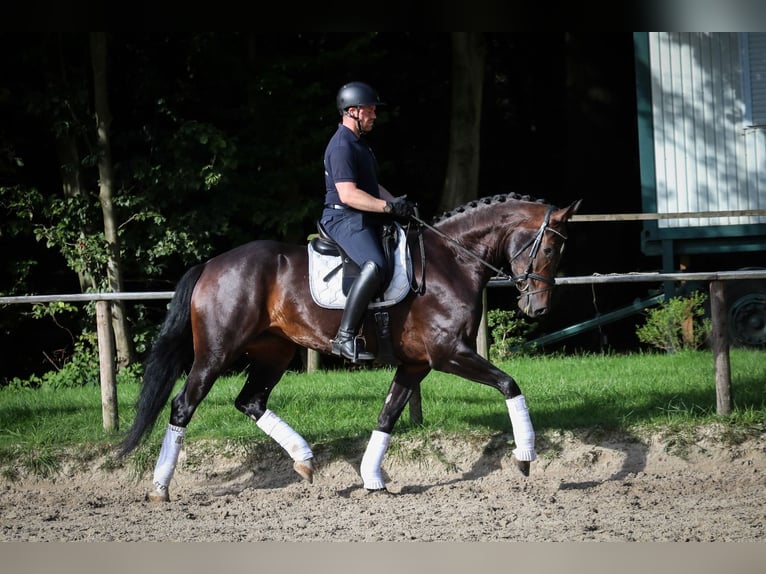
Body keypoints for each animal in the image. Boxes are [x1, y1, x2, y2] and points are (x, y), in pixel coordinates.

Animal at [118, 191, 584, 502]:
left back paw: (304, 459)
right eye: (549, 247)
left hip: (275, 351)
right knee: (184, 405)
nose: (539, 309)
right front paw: (525, 455)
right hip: (216, 353)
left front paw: (371, 477)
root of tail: (212, 264)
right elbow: (509, 384)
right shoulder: (449, 354)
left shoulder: (416, 364)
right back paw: (160, 487)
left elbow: (388, 415)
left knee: (250, 401)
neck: (452, 262)